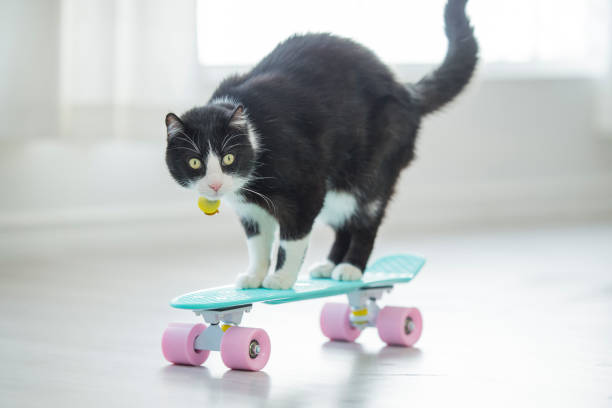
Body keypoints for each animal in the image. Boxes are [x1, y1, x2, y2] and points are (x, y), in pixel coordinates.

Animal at [164, 0, 478, 290]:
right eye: (195, 162)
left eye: (228, 158)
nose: (215, 184)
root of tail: (406, 92)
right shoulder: (250, 209)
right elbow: (258, 244)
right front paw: (254, 276)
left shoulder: (306, 188)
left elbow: (292, 239)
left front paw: (282, 279)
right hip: (335, 186)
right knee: (344, 222)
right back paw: (330, 265)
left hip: (369, 169)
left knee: (366, 218)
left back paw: (351, 267)